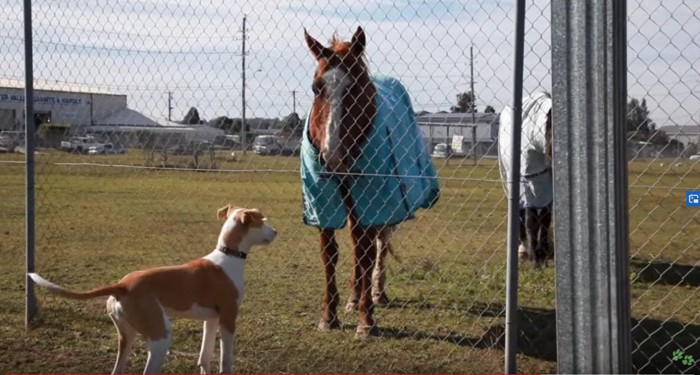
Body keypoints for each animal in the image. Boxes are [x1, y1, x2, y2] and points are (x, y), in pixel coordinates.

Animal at [28, 204, 278, 374]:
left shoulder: (211, 319)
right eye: (262, 220)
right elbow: (226, 361)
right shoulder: (228, 318)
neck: (228, 256)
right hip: (160, 337)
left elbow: (204, 358)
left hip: (126, 336)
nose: (276, 231)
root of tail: (122, 285)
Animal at [302, 26, 442, 338]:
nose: (333, 156)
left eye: (357, 88)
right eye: (317, 88)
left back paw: (376, 292)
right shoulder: (323, 200)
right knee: (358, 244)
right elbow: (330, 254)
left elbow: (367, 253)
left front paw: (367, 320)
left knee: (377, 245)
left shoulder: (375, 199)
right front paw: (329, 316)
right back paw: (355, 298)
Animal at [498, 91, 552, 268]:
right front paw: (535, 258)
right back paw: (522, 246)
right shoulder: (528, 183)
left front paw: (542, 252)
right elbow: (531, 220)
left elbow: (545, 219)